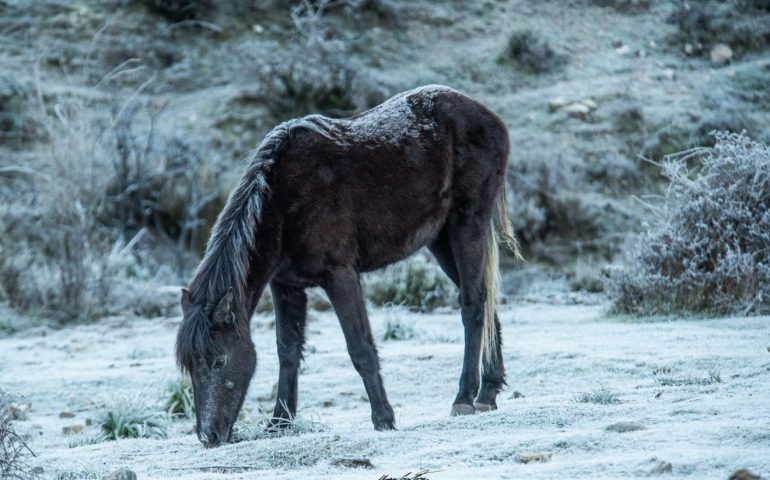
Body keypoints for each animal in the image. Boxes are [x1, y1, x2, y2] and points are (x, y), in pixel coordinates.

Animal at [177, 84, 520, 448]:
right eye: (190, 366)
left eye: (218, 361)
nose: (209, 436)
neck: (282, 202)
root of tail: (487, 116)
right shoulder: (286, 286)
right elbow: (288, 351)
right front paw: (279, 422)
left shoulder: (339, 275)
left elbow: (360, 347)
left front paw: (384, 418)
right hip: (440, 239)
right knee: (486, 300)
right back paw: (488, 392)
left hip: (467, 222)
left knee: (473, 304)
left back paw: (464, 398)